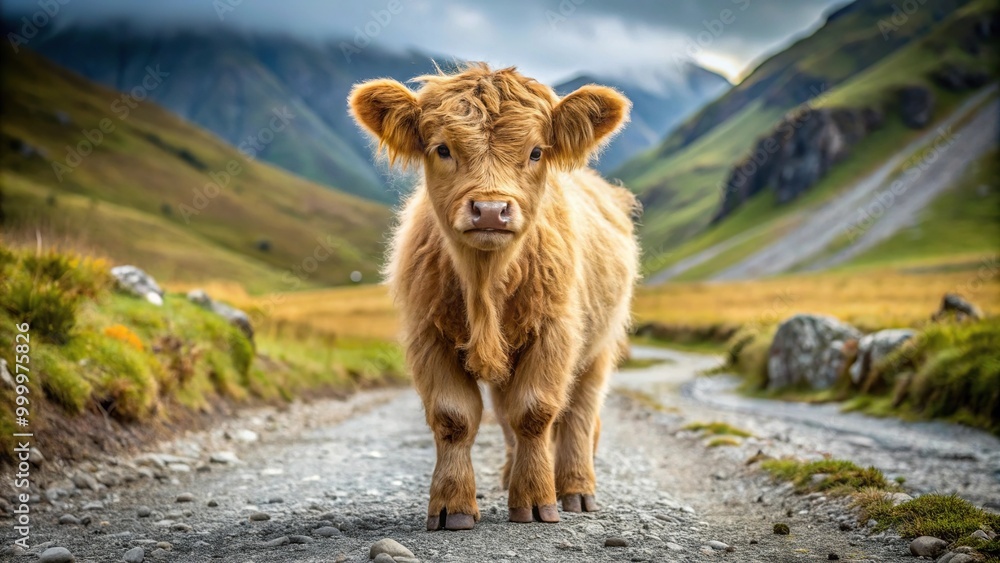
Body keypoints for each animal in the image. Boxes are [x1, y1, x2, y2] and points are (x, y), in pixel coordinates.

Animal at [349, 63, 640, 531]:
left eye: (536, 152)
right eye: (442, 149)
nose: (489, 210)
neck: (485, 285)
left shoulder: (555, 332)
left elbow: (535, 412)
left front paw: (538, 500)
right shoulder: (428, 335)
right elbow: (454, 416)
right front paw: (452, 505)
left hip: (599, 346)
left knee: (579, 414)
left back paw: (576, 488)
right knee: (506, 415)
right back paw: (510, 475)